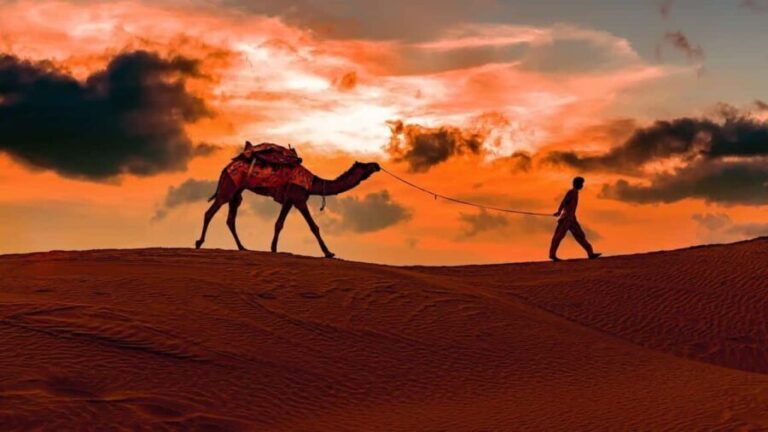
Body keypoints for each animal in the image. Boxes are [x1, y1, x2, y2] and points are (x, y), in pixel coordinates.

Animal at [195, 160, 381, 258]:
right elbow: (312, 227)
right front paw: (328, 253)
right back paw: (199, 243)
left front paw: (273, 248)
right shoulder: (297, 198)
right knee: (209, 212)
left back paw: (242, 247)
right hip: (228, 188)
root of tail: (225, 168)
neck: (312, 183)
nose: (377, 165)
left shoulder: (290, 200)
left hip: (237, 192)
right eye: (366, 165)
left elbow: (281, 224)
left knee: (230, 219)